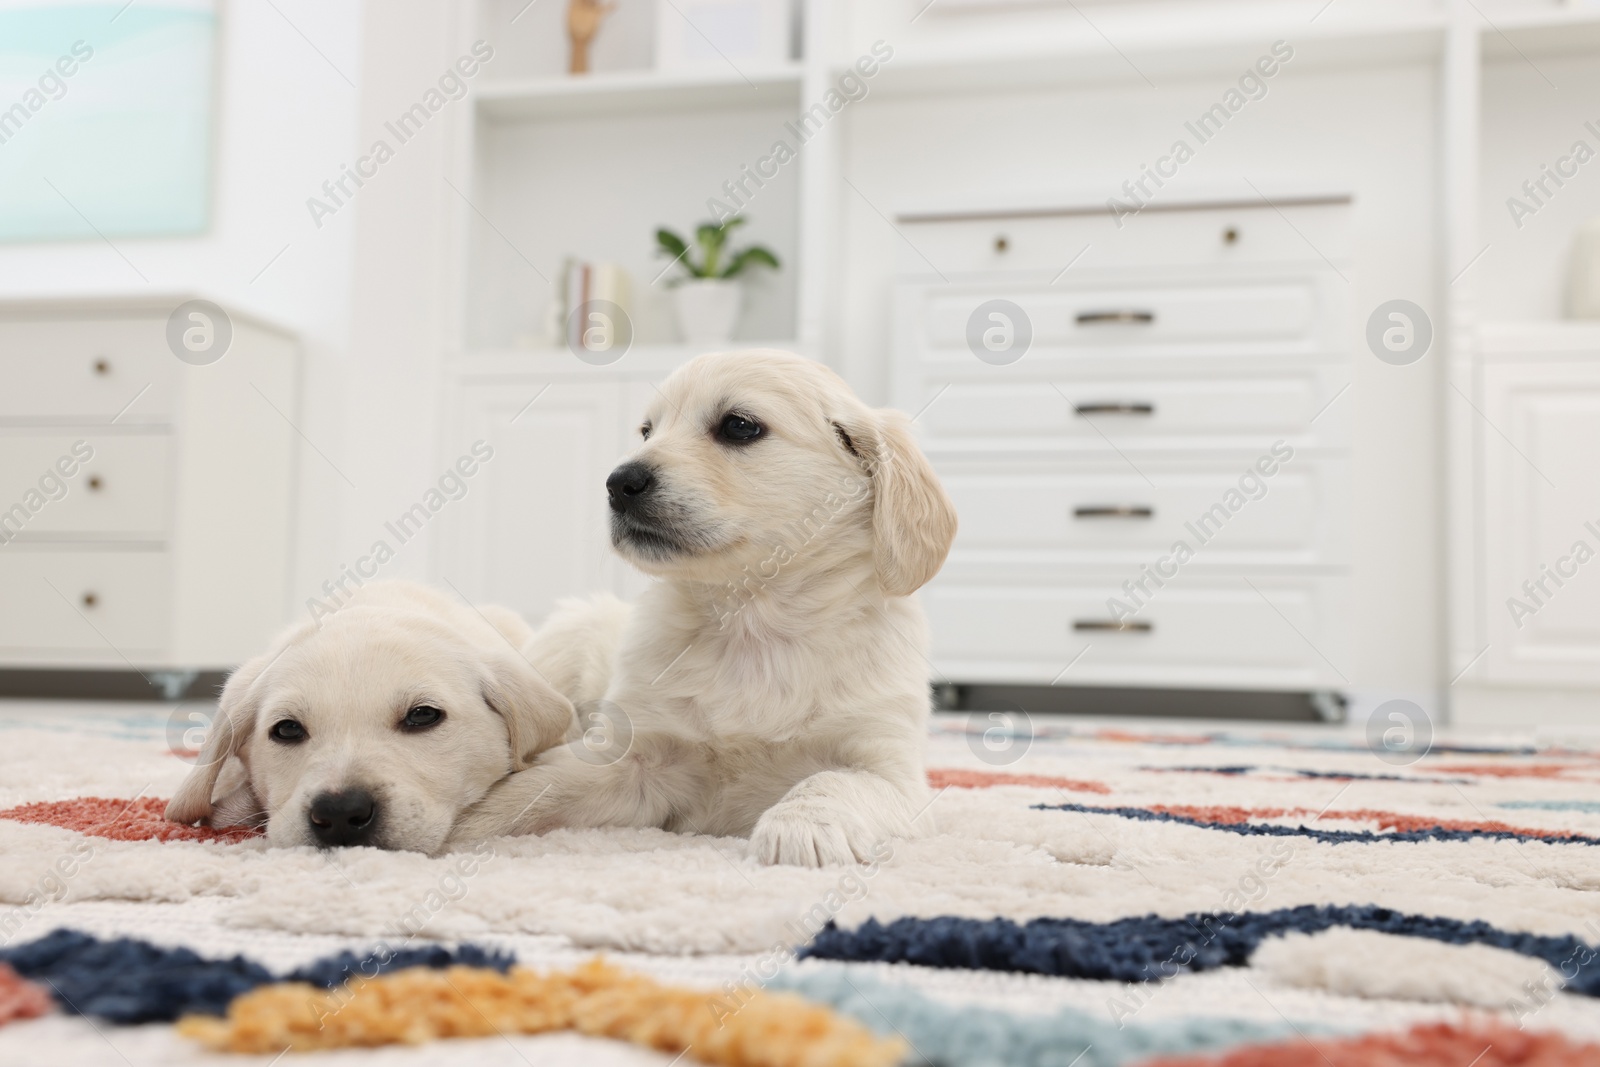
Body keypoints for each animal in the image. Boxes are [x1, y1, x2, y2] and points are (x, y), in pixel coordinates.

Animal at [444, 350, 953, 870]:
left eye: (739, 426)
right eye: (647, 431)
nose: (618, 482)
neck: (753, 620)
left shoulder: (895, 773)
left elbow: (835, 780)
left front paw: (799, 828)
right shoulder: (635, 759)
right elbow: (537, 788)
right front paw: (459, 827)